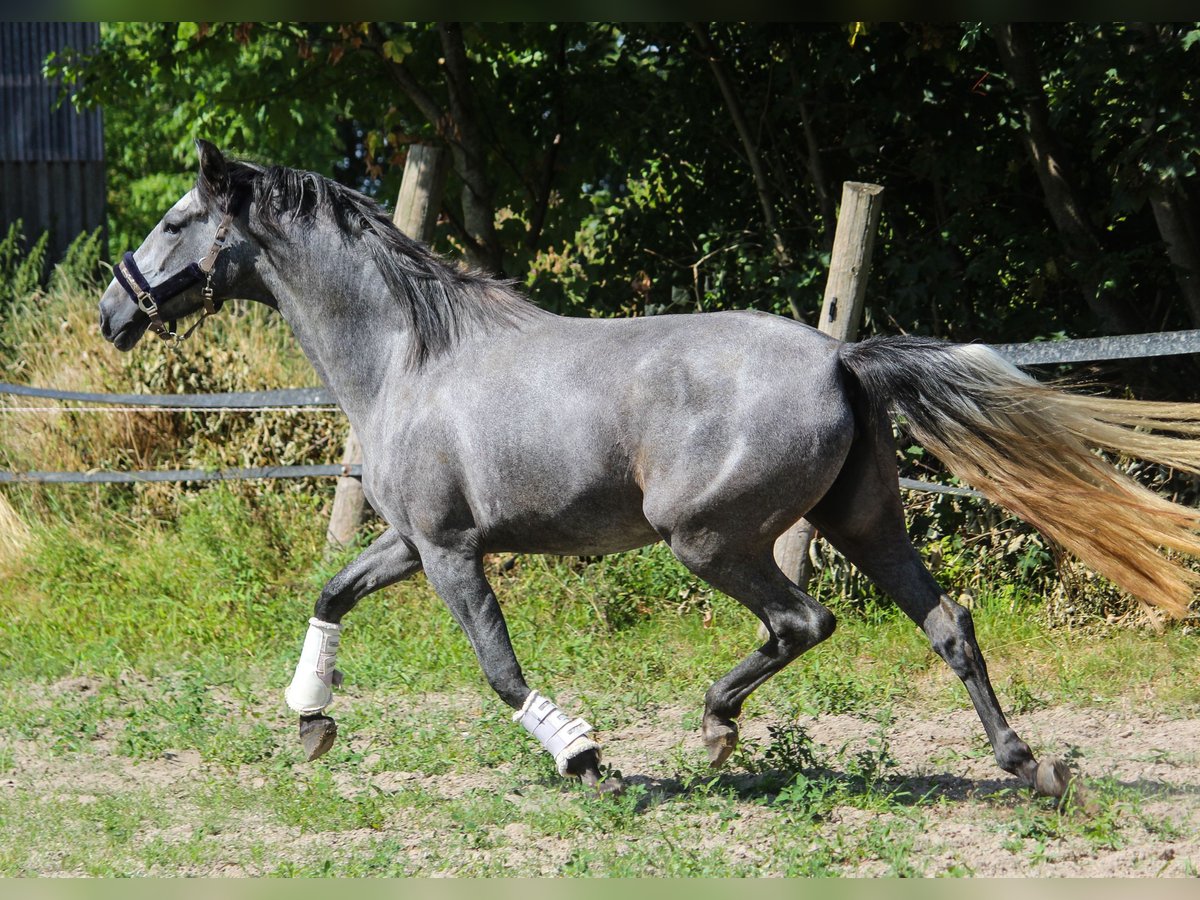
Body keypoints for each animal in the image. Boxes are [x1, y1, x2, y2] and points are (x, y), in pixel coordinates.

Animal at [98, 142, 1200, 801]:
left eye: (172, 221)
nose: (112, 313)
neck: (410, 355)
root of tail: (842, 358)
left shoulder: (451, 552)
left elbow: (499, 668)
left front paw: (584, 755)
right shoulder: (410, 542)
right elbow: (330, 593)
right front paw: (310, 720)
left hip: (708, 537)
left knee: (803, 621)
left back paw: (715, 732)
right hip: (866, 524)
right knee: (948, 625)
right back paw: (1027, 766)